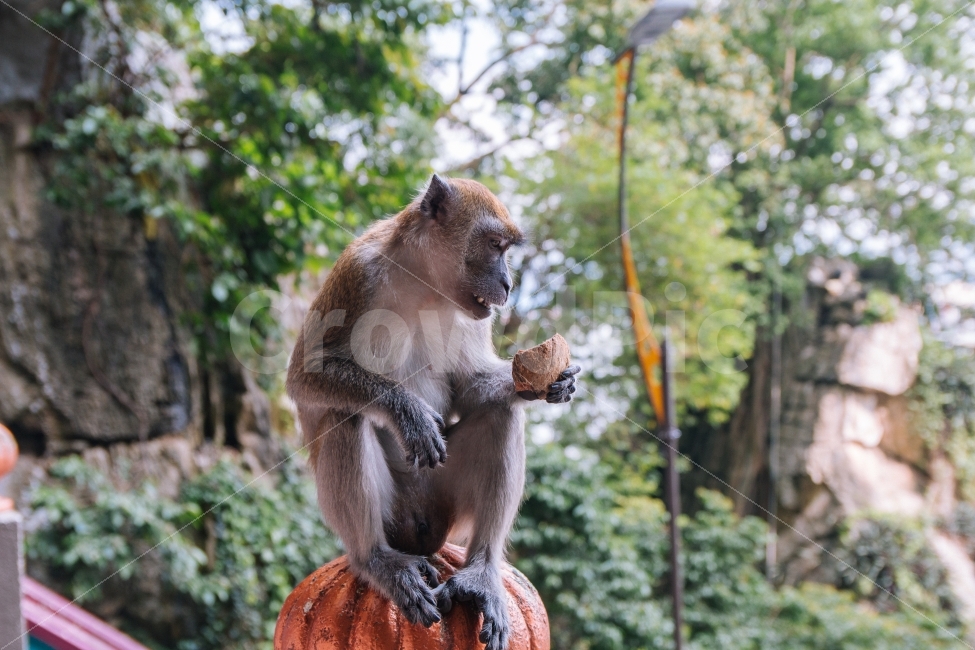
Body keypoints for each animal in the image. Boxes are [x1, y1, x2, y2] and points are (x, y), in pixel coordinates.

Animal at [286, 174, 579, 650]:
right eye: (495, 245)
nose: (508, 283)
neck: (423, 283)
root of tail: (421, 537)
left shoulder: (475, 315)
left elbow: (472, 389)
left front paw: (554, 381)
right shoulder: (357, 273)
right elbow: (305, 374)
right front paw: (407, 411)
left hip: (447, 510)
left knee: (502, 416)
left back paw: (481, 572)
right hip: (393, 516)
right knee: (346, 417)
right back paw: (378, 561)